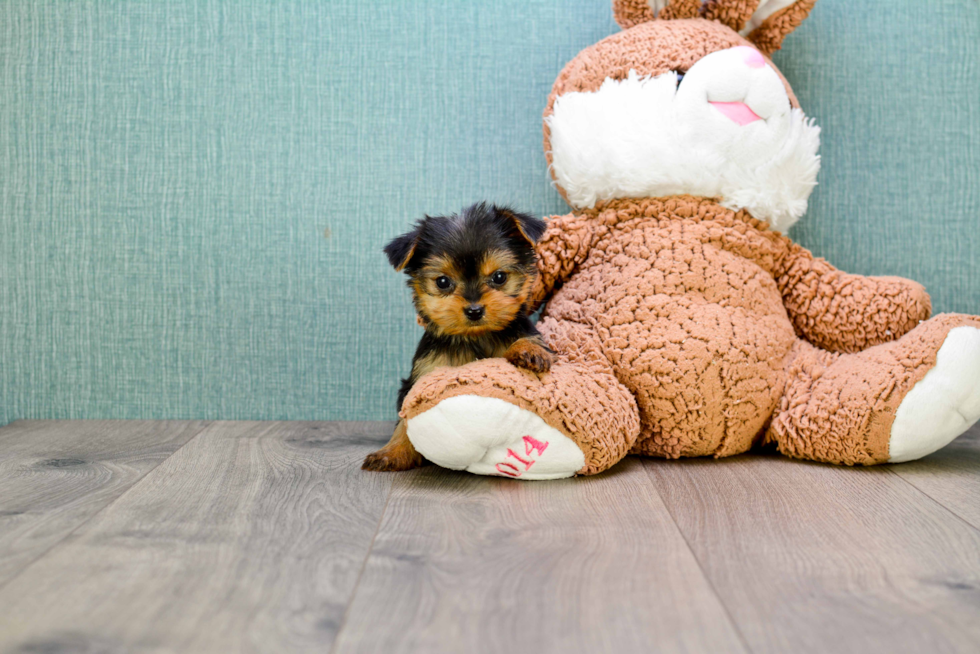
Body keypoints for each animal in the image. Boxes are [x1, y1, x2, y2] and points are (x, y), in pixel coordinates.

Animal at [362, 202, 560, 474]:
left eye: (499, 277)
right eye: (443, 282)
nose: (474, 310)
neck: (474, 337)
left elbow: (529, 339)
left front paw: (529, 351)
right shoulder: (425, 374)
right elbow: (406, 416)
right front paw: (392, 451)